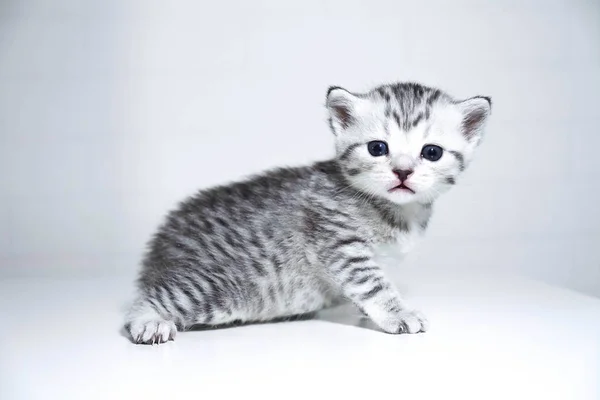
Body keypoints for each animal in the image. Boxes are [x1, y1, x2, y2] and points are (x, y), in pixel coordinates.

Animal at [124, 81, 490, 344]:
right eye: (377, 148)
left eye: (432, 152)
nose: (402, 171)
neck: (399, 211)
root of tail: (163, 239)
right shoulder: (338, 241)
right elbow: (373, 284)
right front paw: (397, 313)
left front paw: (370, 313)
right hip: (219, 285)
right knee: (150, 299)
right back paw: (149, 321)